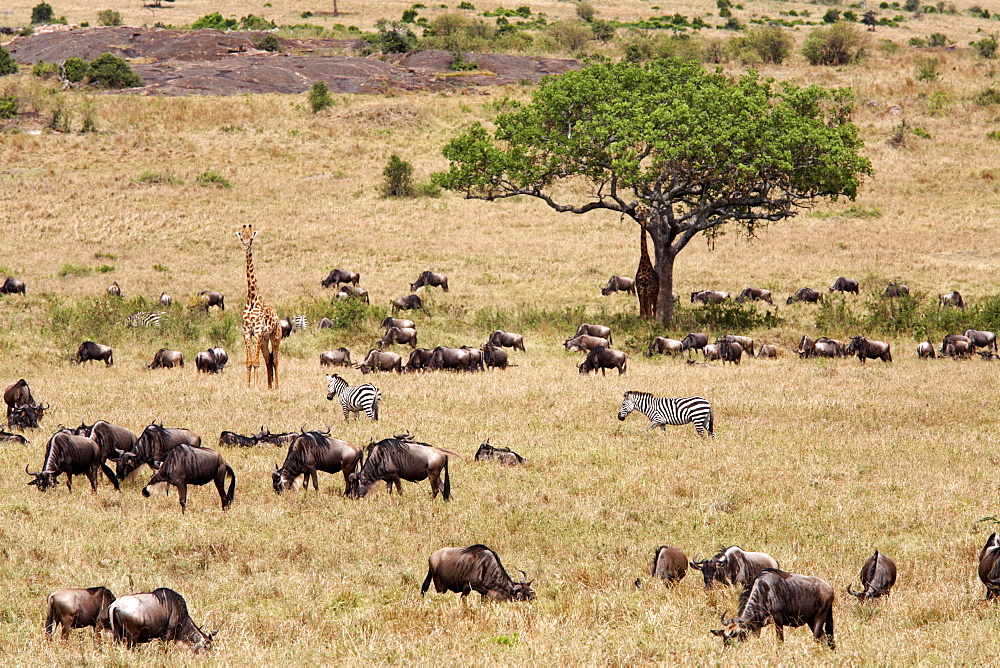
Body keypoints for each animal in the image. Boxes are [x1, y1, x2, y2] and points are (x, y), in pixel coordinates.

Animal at [234, 226, 282, 388]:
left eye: (251, 239)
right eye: (241, 238)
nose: (245, 247)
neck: (252, 298)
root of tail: (279, 319)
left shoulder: (257, 331)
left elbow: (256, 362)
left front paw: (254, 386)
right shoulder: (247, 332)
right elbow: (249, 362)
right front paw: (248, 386)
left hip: (275, 336)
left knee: (275, 360)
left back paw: (276, 387)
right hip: (264, 340)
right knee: (268, 360)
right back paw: (269, 387)